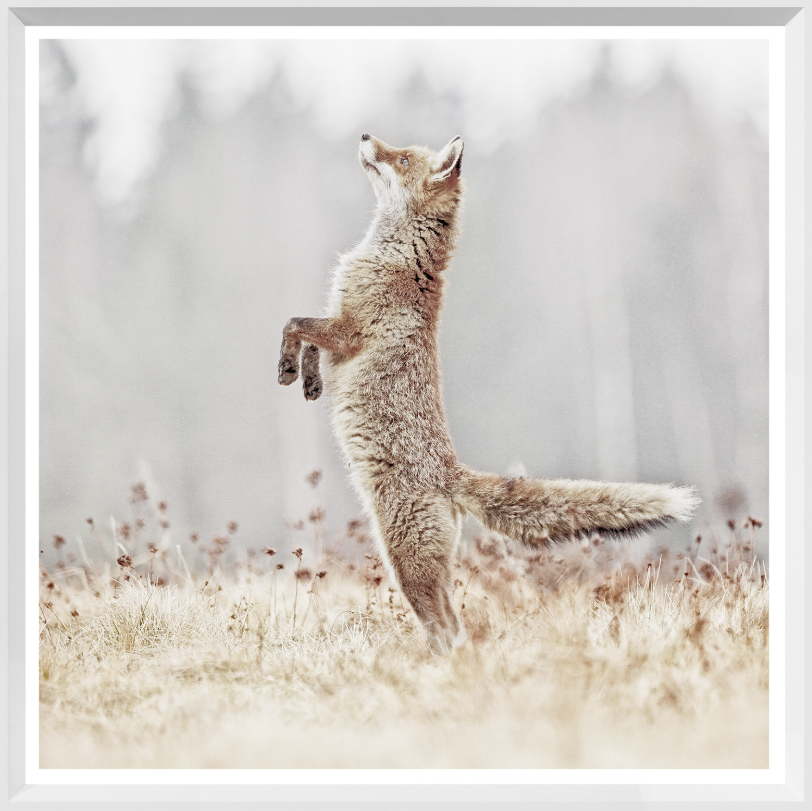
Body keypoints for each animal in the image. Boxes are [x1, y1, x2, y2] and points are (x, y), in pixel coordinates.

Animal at [278, 133, 700, 654]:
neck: (396, 257)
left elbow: (295, 324)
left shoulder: (349, 329)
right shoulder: (338, 325)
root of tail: (450, 473)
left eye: (401, 158)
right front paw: (309, 380)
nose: (365, 136)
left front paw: (286, 367)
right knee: (451, 625)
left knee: (448, 627)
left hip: (405, 562)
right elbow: (309, 341)